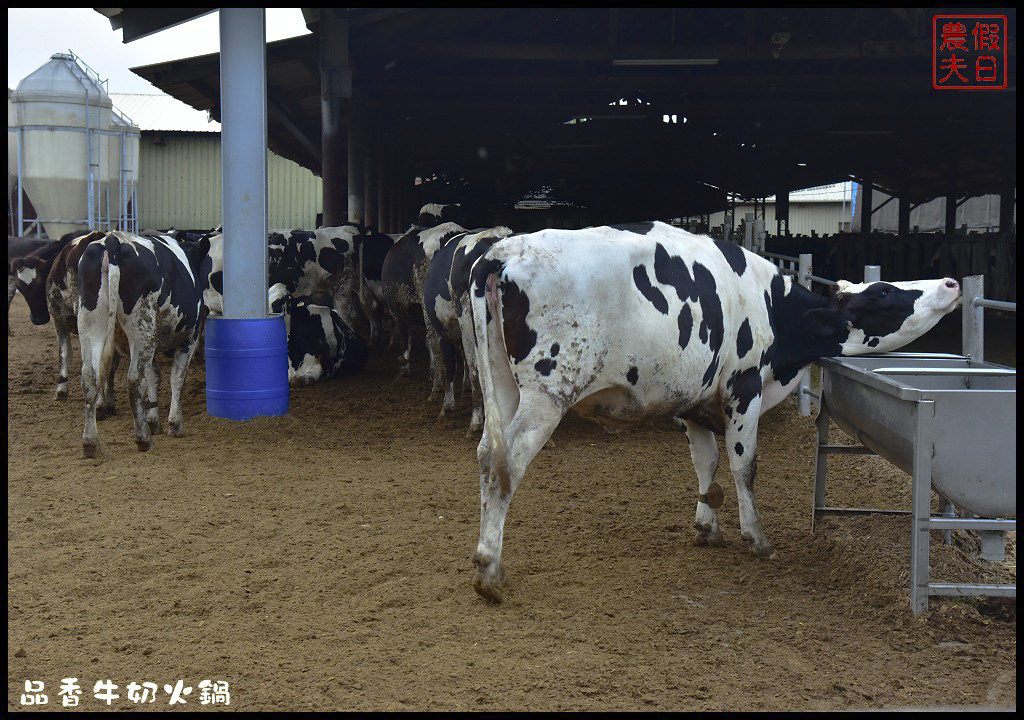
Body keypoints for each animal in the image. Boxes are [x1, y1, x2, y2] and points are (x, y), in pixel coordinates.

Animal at [419, 225, 512, 434]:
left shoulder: (445, 331)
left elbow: (450, 364)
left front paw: (447, 407)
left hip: (468, 318)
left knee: (475, 367)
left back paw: (476, 421)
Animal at [468, 221, 962, 602]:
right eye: (882, 292)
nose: (952, 282)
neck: (770, 305)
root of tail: (504, 252)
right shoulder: (743, 386)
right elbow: (745, 465)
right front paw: (756, 537)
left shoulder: (694, 396)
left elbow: (706, 462)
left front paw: (707, 526)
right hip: (546, 393)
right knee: (507, 463)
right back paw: (490, 570)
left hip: (503, 385)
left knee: (486, 456)